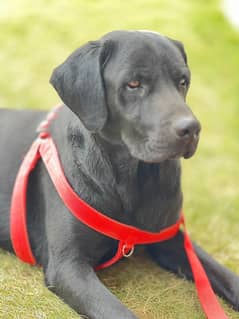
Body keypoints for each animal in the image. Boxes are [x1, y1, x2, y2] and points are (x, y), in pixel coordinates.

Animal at [0, 30, 239, 319]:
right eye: (133, 83)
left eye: (183, 82)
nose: (191, 129)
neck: (132, 181)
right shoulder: (69, 266)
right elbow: (119, 312)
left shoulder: (171, 239)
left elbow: (223, 274)